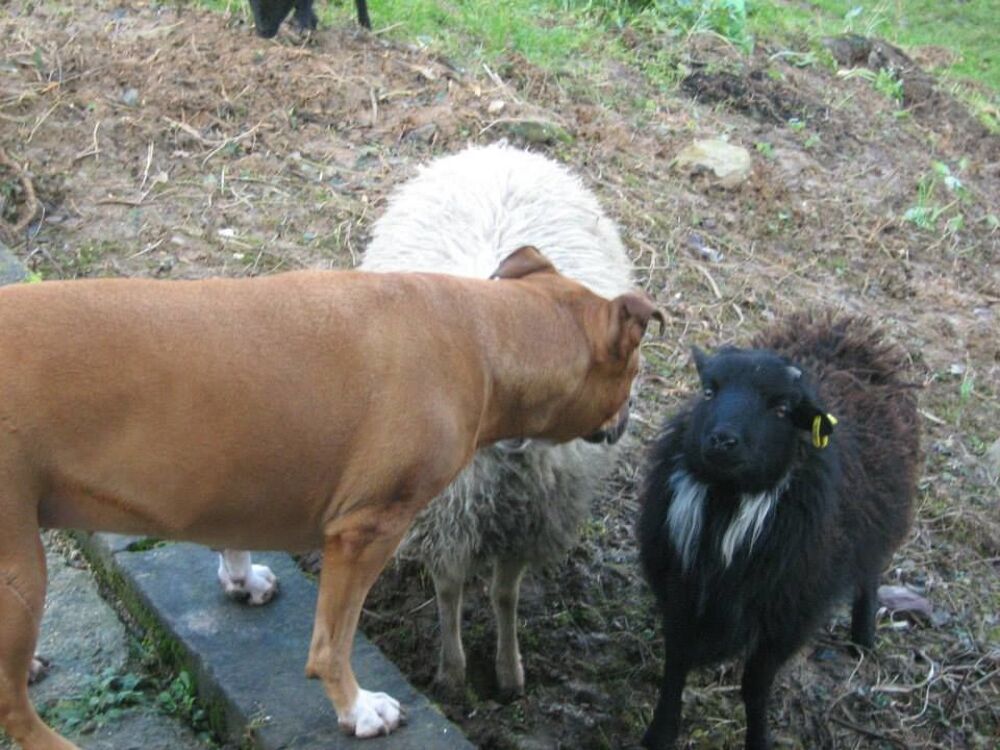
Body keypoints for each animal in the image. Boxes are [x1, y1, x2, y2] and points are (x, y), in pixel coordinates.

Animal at [361, 142, 636, 697]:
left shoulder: (527, 521)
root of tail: (502, 150)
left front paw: (509, 672)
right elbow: (448, 588)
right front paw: (451, 672)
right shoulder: (444, 513)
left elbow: (505, 595)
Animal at [637, 312, 920, 750]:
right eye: (708, 391)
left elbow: (755, 687)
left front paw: (758, 739)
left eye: (782, 408)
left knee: (869, 571)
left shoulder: (788, 616)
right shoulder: (678, 588)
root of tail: (840, 329)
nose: (721, 440)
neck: (728, 504)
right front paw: (660, 733)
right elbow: (676, 664)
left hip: (880, 523)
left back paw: (863, 636)